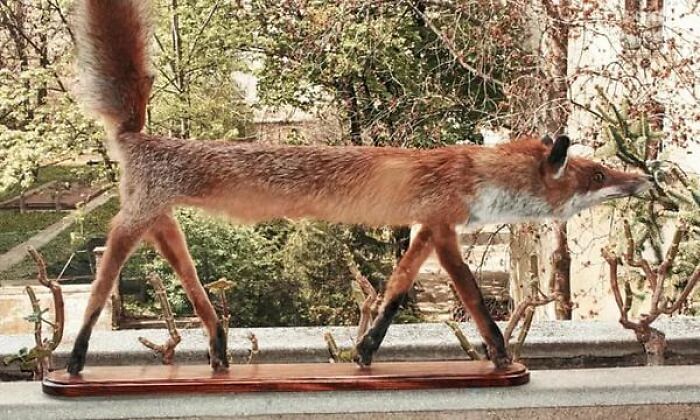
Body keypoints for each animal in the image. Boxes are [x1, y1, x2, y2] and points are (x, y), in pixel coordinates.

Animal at [66, 0, 652, 375]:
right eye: (598, 176)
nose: (644, 178)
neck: (476, 174)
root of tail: (139, 137)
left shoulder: (425, 230)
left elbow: (392, 298)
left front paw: (367, 354)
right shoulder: (445, 231)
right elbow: (475, 302)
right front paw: (502, 356)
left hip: (164, 228)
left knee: (198, 296)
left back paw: (218, 353)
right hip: (131, 227)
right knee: (96, 297)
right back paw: (72, 362)